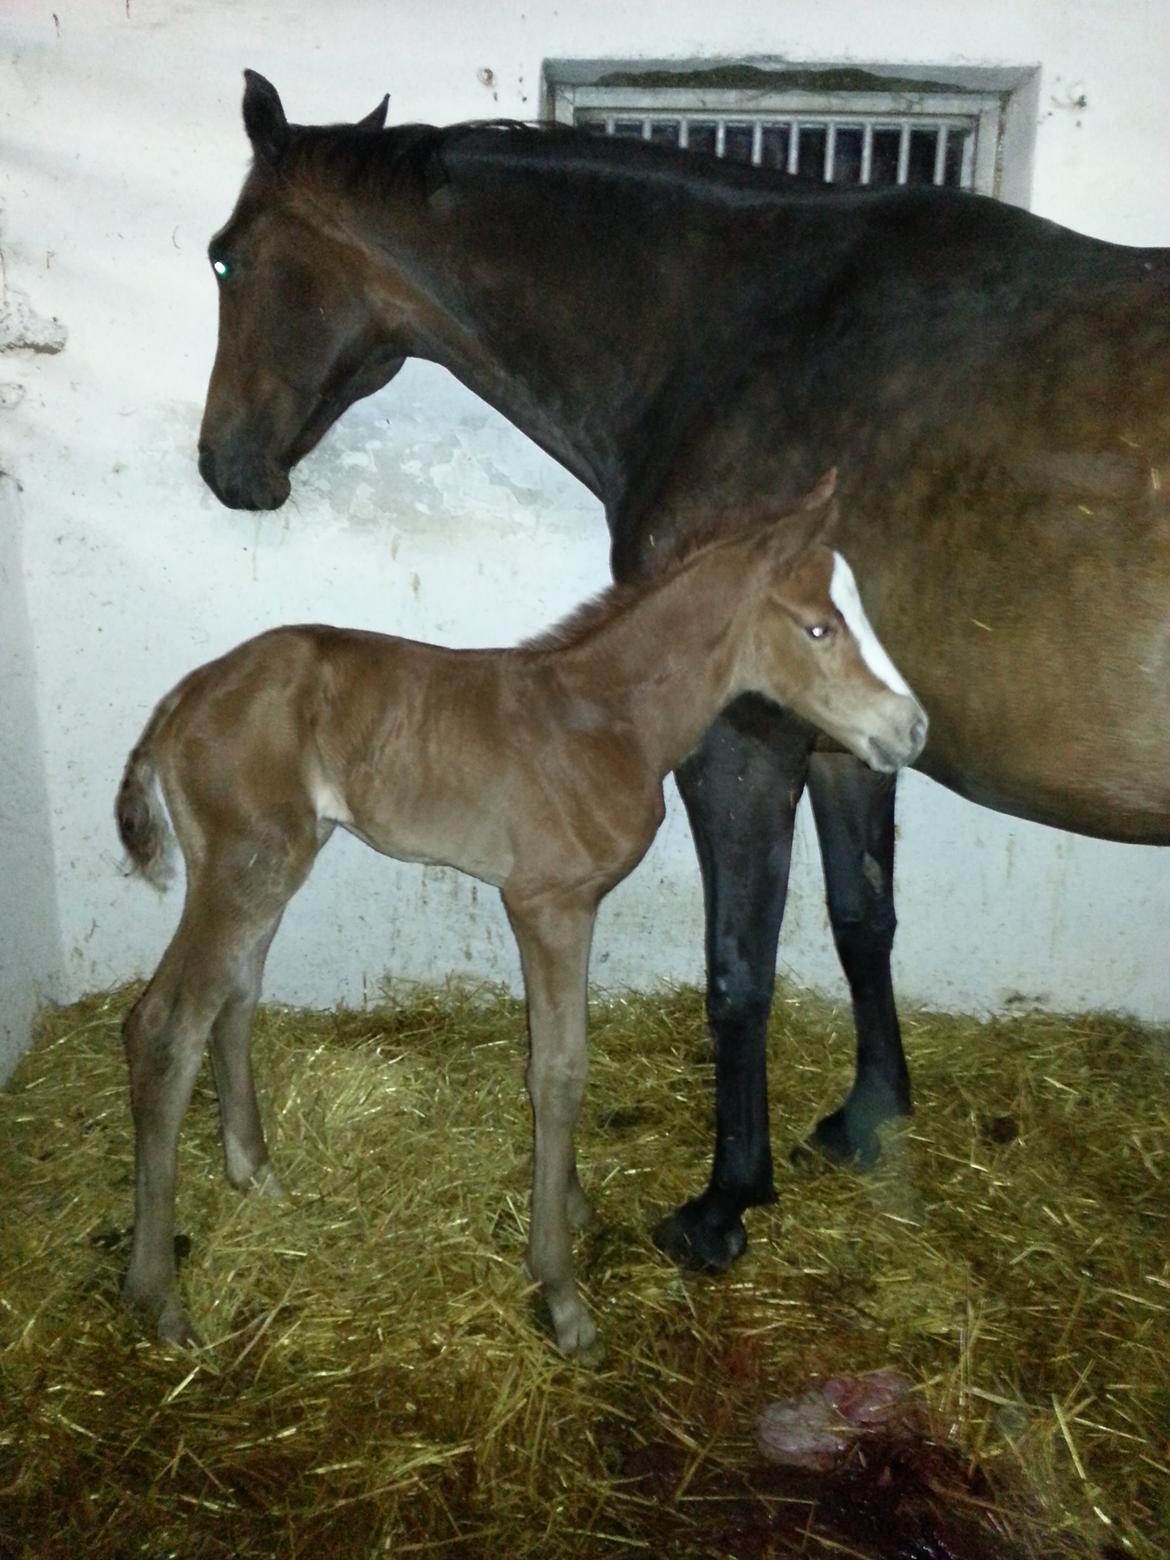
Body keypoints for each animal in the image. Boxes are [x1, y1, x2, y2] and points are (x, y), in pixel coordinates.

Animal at [116, 480, 923, 1360]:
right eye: (818, 628)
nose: (912, 728)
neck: (606, 719)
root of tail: (180, 700)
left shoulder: (565, 906)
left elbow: (554, 1055)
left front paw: (569, 1204)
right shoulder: (549, 903)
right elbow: (559, 1072)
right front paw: (562, 1294)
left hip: (275, 861)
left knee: (234, 999)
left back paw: (255, 1172)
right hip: (245, 867)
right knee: (166, 1026)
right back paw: (160, 1296)